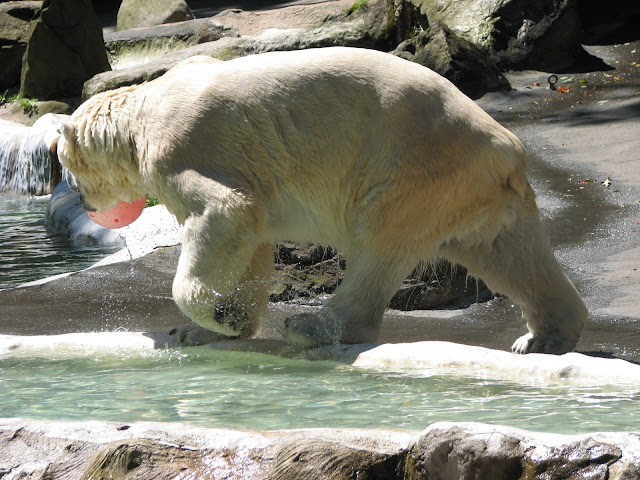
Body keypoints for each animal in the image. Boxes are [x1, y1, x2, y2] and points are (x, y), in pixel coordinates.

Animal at [56, 47, 588, 354]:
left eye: (64, 166)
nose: (86, 202)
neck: (143, 111)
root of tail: (507, 145)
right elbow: (252, 240)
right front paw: (213, 327)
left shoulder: (182, 146)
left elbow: (223, 212)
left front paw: (212, 318)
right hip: (473, 187)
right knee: (507, 252)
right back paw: (543, 336)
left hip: (412, 163)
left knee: (379, 240)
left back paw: (313, 326)